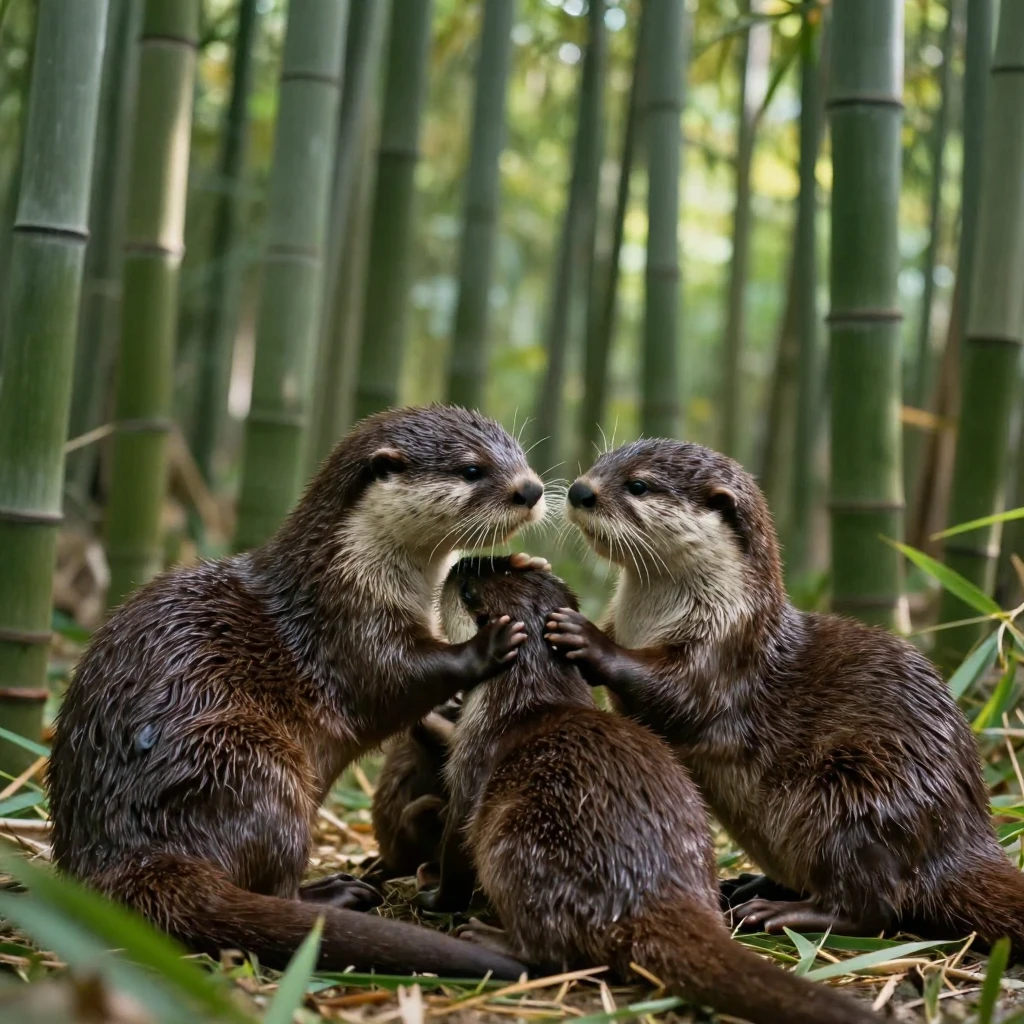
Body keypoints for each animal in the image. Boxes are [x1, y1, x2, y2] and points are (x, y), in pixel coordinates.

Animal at [47, 406, 545, 979]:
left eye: (520, 455)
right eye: (472, 469)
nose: (530, 489)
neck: (350, 573)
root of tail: (126, 854)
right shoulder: (347, 629)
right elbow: (397, 679)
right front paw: (488, 643)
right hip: (246, 764)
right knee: (275, 880)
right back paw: (336, 893)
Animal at [415, 557, 879, 1024]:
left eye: (468, 589)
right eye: (496, 563)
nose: (459, 563)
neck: (521, 699)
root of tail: (644, 893)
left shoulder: (472, 763)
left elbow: (456, 847)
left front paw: (433, 896)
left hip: (515, 847)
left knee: (551, 951)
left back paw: (486, 937)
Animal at [549, 438, 1024, 955]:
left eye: (638, 484)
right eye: (600, 464)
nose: (580, 490)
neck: (652, 621)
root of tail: (965, 836)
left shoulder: (727, 654)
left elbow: (677, 696)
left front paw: (587, 637)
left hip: (862, 795)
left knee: (875, 908)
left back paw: (779, 912)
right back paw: (748, 885)